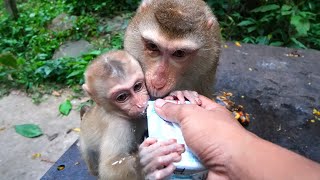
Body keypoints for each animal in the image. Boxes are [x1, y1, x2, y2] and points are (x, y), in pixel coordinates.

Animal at [80, 50, 150, 179]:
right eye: (122, 97)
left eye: (137, 87)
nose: (140, 104)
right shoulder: (118, 125)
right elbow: (109, 169)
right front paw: (146, 158)